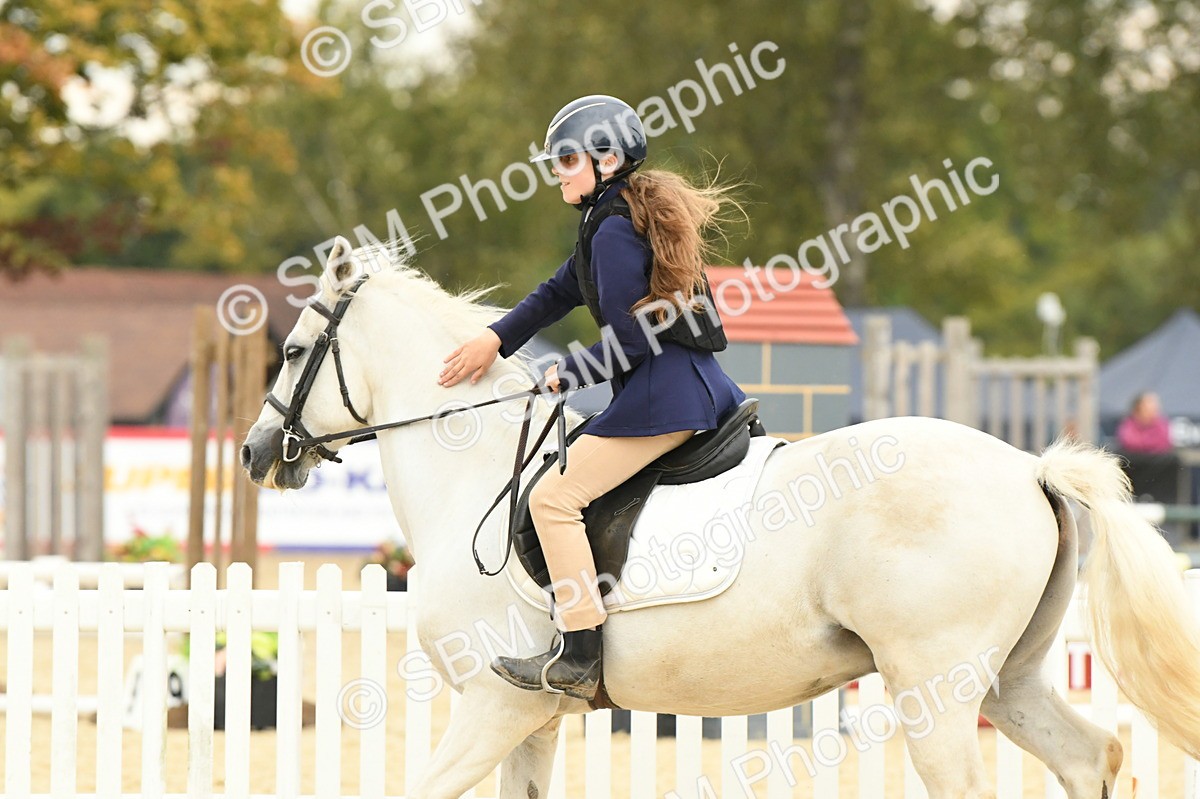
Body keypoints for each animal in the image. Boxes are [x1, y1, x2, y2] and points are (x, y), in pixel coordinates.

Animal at [241, 237, 1200, 798]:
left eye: (291, 351)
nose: (254, 454)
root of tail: (1031, 467)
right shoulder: (531, 722)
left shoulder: (494, 705)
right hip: (1009, 678)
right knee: (1089, 755)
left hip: (935, 688)